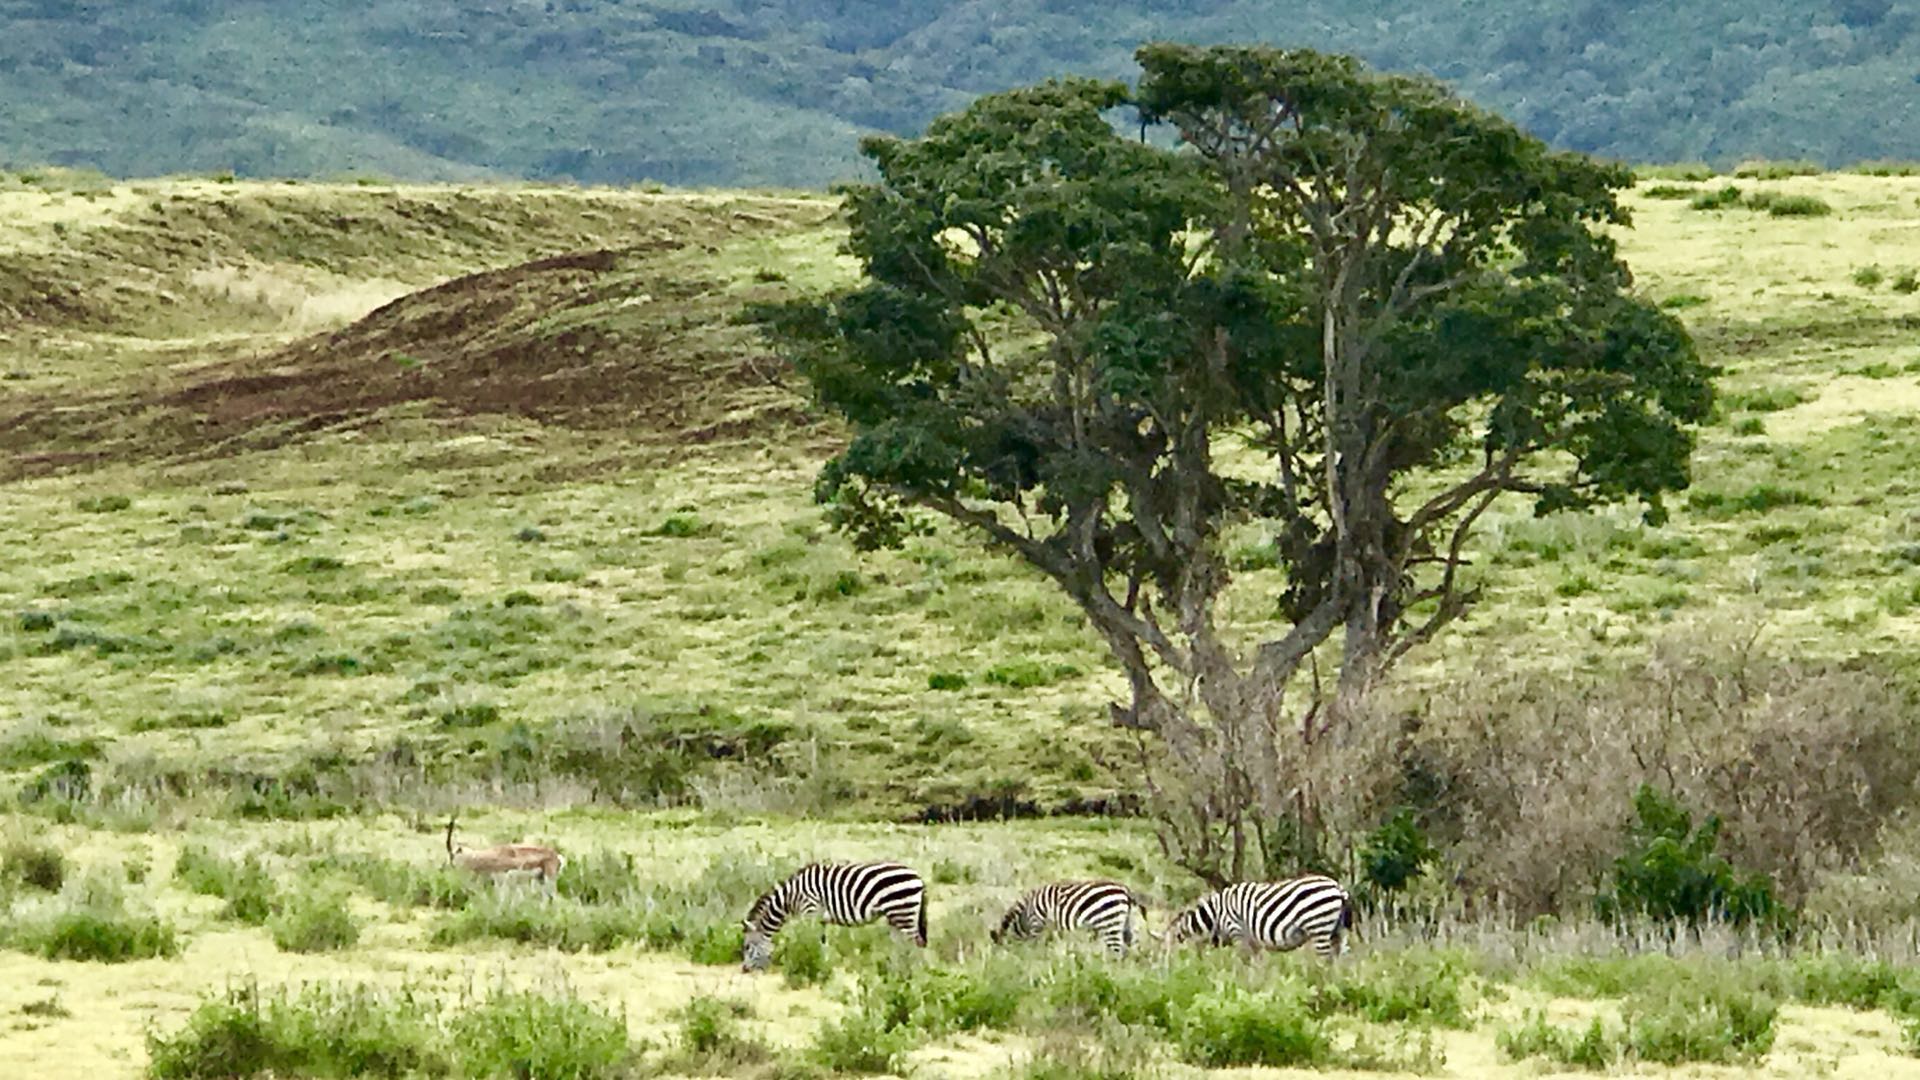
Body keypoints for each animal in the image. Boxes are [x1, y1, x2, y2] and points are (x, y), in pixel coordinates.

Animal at [737, 857, 925, 968]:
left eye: (747, 947)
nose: (744, 969)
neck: (792, 897)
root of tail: (918, 876)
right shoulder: (820, 918)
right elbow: (822, 941)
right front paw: (823, 962)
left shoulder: (810, 911)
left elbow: (811, 941)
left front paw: (813, 962)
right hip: (896, 916)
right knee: (901, 945)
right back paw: (894, 967)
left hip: (904, 912)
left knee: (915, 944)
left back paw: (912, 971)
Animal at [990, 880, 1136, 953]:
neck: (1025, 913)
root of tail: (1126, 890)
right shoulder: (1052, 927)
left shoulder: (1037, 923)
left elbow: (1036, 946)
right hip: (1124, 924)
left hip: (1109, 923)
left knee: (1117, 951)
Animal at [1159, 868, 1359, 953]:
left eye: (1168, 950)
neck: (1216, 915)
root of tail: (1338, 887)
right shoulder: (1252, 940)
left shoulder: (1237, 931)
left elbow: (1244, 962)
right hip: (1336, 930)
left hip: (1319, 926)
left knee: (1325, 959)